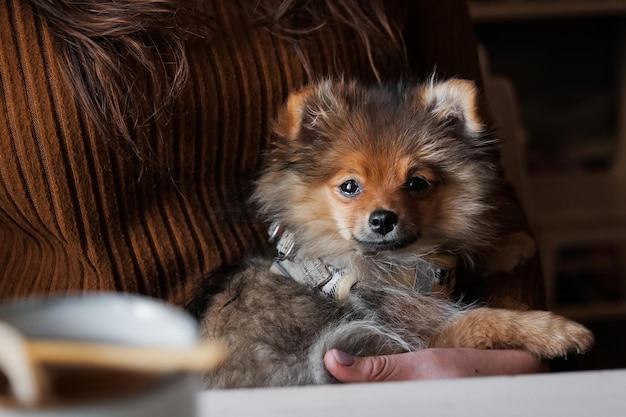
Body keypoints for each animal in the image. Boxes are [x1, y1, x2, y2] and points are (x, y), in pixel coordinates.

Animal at [193, 77, 592, 386]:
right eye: (350, 187)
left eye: (416, 183)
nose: (383, 219)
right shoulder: (425, 328)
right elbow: (485, 319)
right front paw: (555, 331)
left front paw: (513, 245)